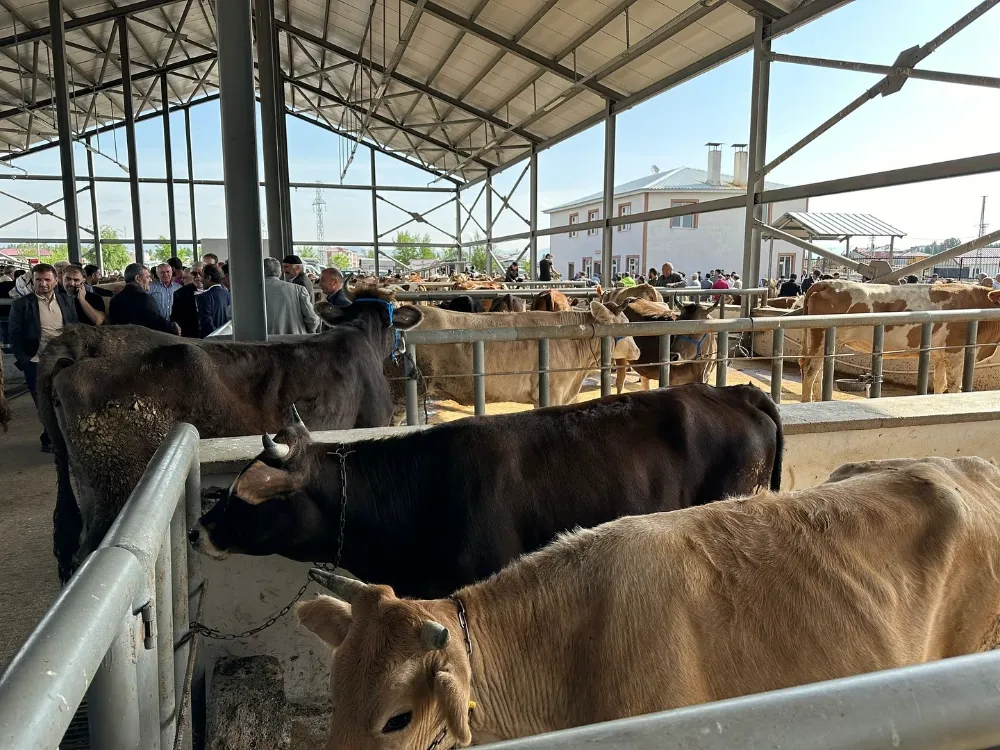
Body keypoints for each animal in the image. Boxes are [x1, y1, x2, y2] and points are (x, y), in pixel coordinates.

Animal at [800, 280, 1000, 402]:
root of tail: (828, 283)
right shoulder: (956, 352)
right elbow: (953, 386)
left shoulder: (941, 356)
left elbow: (940, 384)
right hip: (821, 337)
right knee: (810, 370)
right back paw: (807, 401)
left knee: (817, 371)